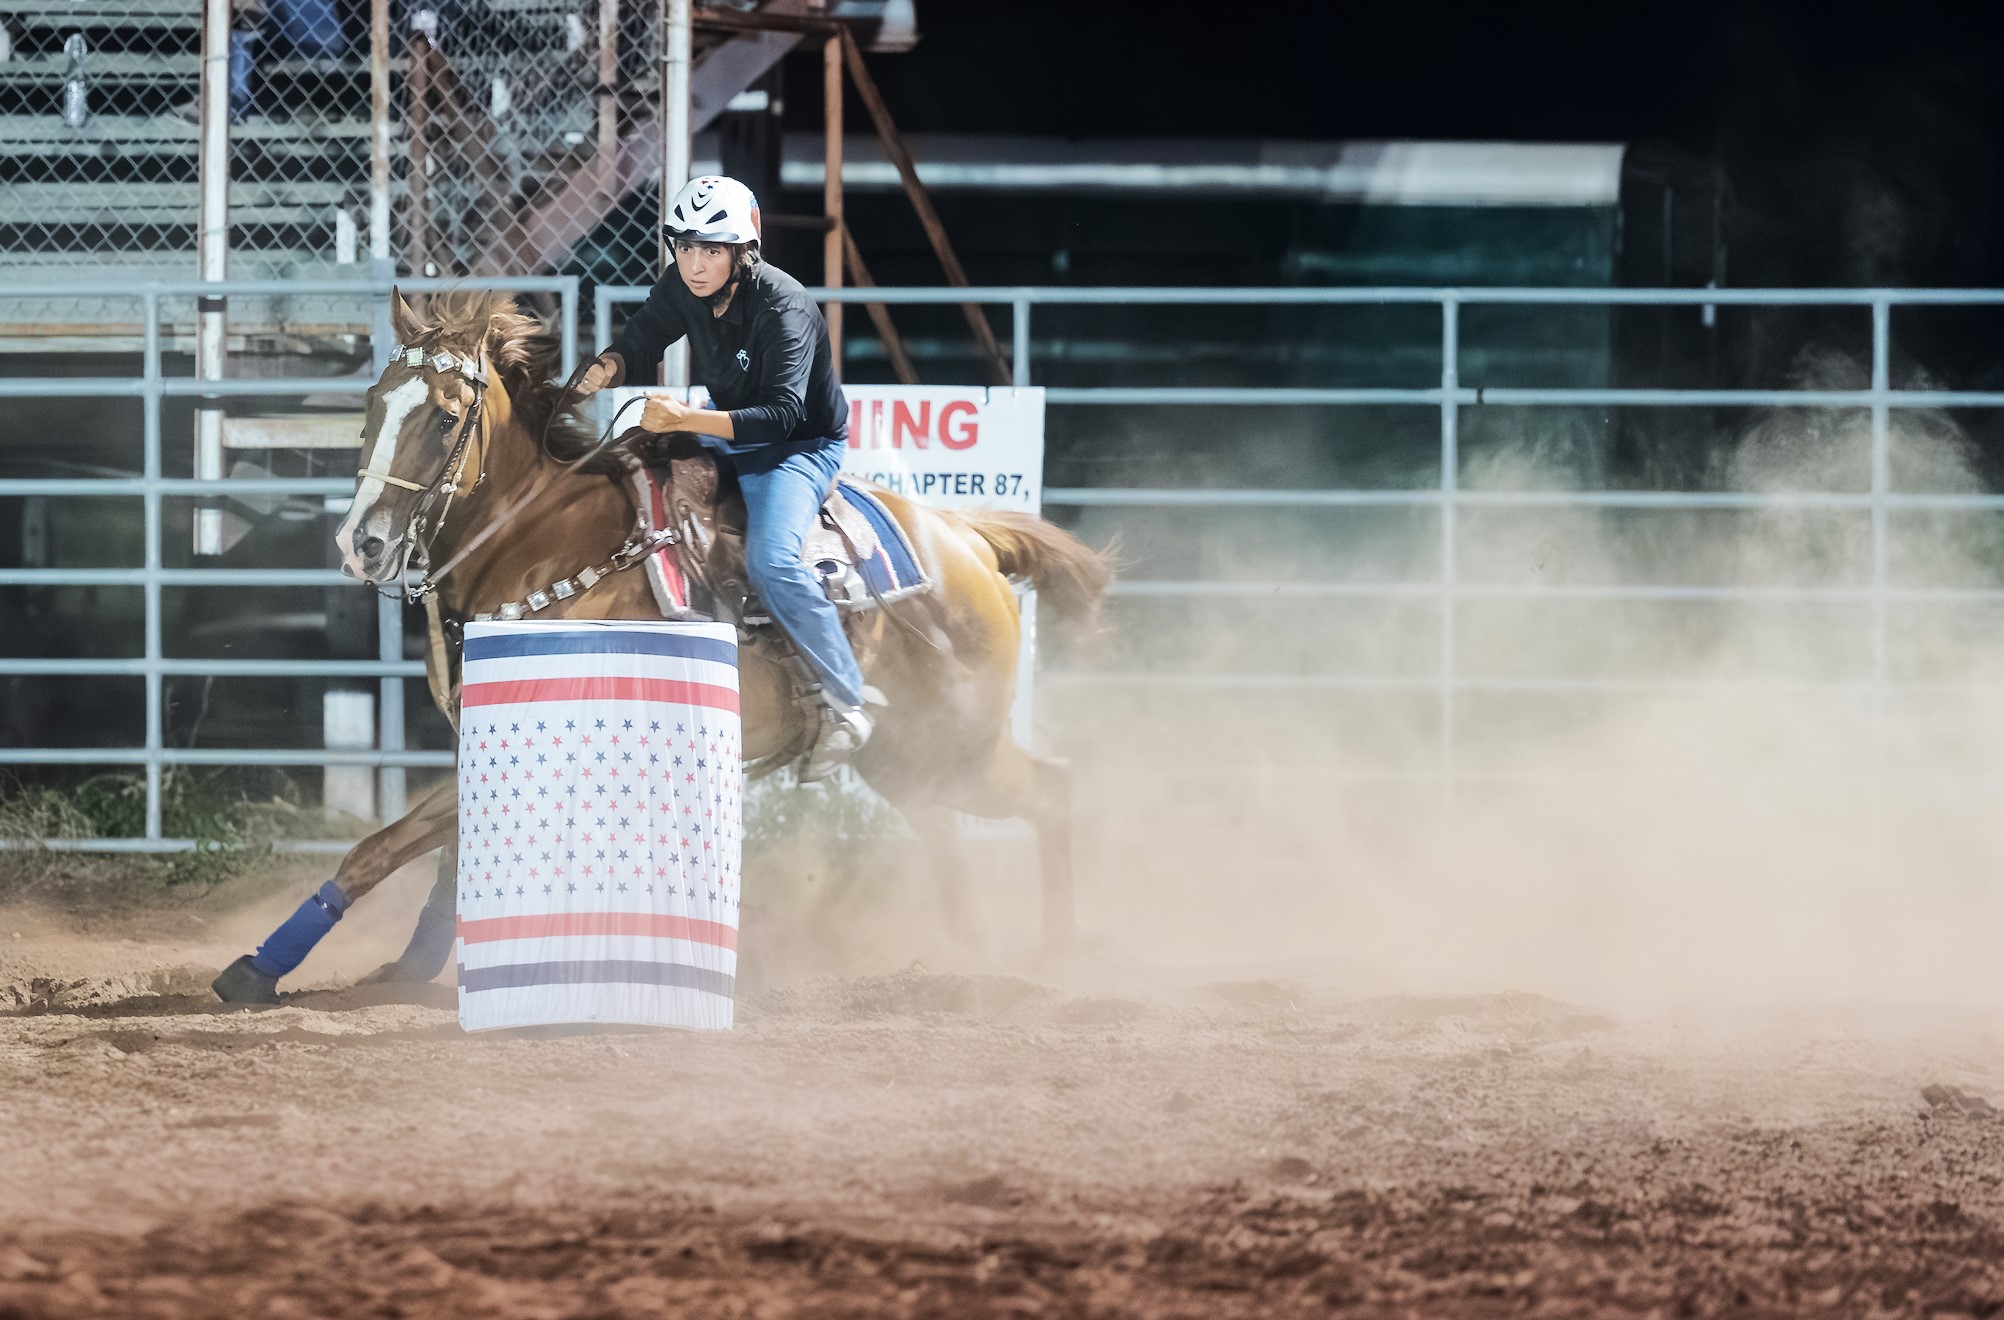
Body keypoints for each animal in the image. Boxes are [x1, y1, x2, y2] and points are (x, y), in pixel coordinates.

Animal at [221, 288, 1114, 993]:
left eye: (443, 420)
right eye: (373, 405)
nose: (361, 543)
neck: (545, 546)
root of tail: (970, 540)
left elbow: (386, 849)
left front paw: (258, 970)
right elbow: (428, 855)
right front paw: (400, 969)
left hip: (954, 745)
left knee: (1054, 793)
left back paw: (1056, 952)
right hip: (914, 762)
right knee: (985, 819)